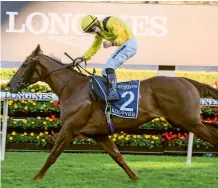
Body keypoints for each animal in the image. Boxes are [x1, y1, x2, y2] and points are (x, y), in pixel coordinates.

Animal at [6, 44, 218, 181]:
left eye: (24, 64)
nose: (9, 85)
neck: (73, 88)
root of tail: (186, 80)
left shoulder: (70, 128)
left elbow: (53, 154)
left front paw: (36, 178)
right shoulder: (98, 133)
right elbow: (117, 156)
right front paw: (135, 177)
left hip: (188, 121)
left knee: (213, 136)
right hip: (183, 121)